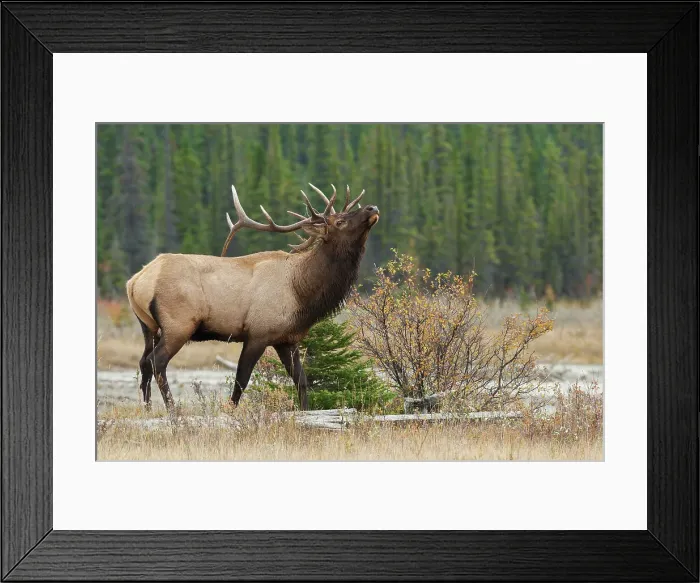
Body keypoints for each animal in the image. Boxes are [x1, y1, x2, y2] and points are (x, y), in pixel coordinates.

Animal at [126, 183, 379, 412]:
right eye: (339, 221)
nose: (372, 207)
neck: (301, 292)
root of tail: (136, 281)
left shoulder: (287, 339)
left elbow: (301, 380)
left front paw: (305, 412)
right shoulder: (258, 333)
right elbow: (241, 380)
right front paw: (230, 412)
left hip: (149, 327)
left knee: (144, 363)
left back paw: (147, 409)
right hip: (178, 324)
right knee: (157, 362)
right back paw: (172, 411)